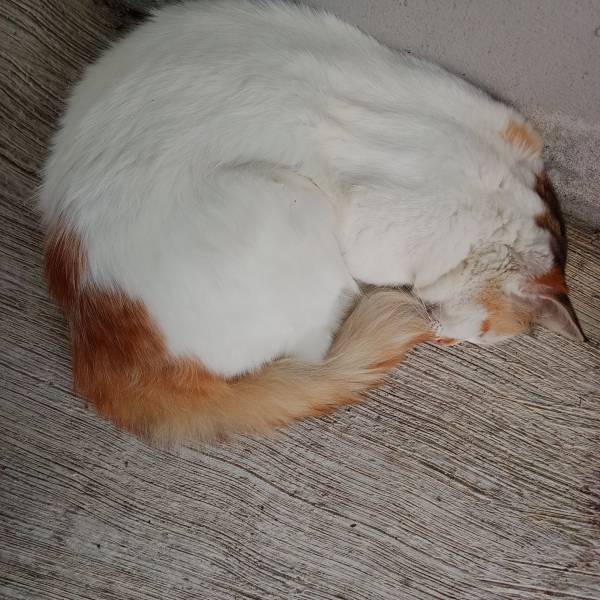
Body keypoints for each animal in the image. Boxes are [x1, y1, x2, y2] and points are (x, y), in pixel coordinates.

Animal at [40, 0, 584, 444]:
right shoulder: (375, 231)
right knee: (316, 346)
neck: (498, 187)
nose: (444, 337)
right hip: (296, 203)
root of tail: (99, 355)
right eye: (486, 332)